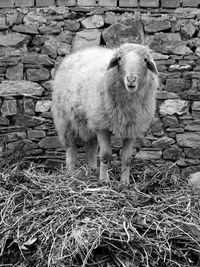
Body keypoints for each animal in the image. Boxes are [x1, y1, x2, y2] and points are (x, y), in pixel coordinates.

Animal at [51, 43, 159, 184]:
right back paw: (71, 173)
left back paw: (92, 169)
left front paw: (125, 182)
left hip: (90, 122)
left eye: (145, 60)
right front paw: (104, 180)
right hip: (65, 120)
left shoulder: (131, 129)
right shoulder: (102, 126)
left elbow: (127, 158)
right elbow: (105, 154)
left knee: (91, 146)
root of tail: (80, 52)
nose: (131, 79)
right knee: (71, 147)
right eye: (119, 58)